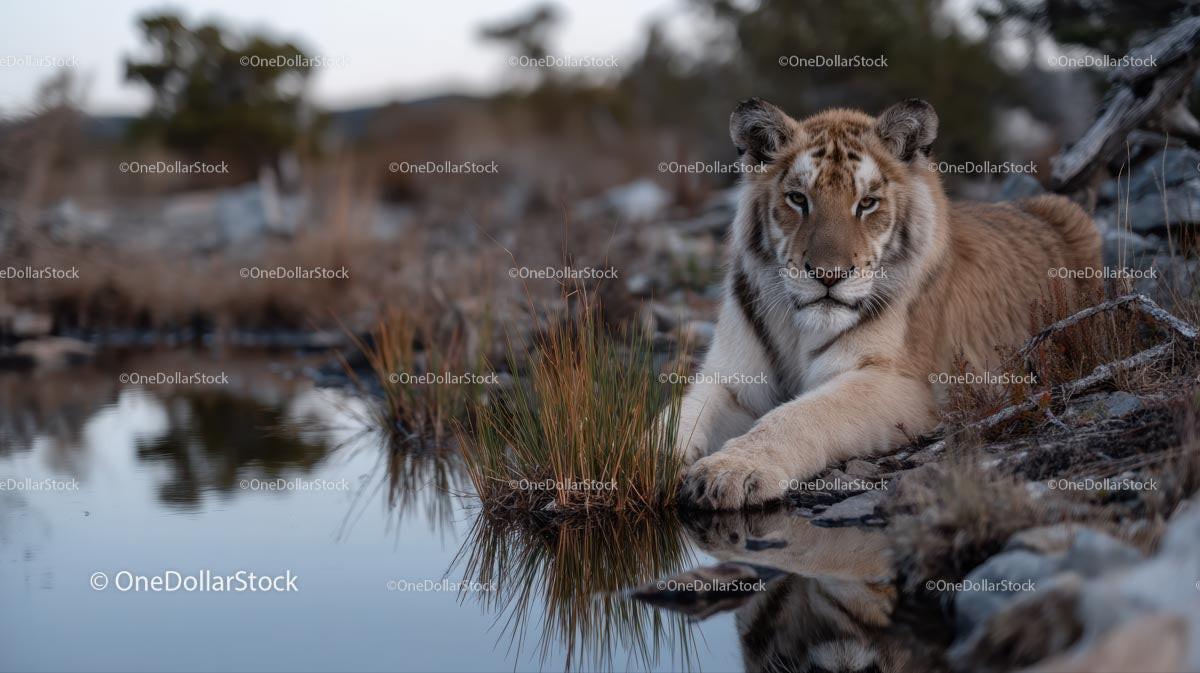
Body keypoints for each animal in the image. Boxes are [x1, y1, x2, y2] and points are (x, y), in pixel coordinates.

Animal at [675, 97, 1101, 509]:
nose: (828, 274)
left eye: (867, 203)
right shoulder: (730, 380)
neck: (800, 328)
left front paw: (729, 470)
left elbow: (801, 414)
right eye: (798, 199)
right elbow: (678, 418)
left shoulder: (899, 382)